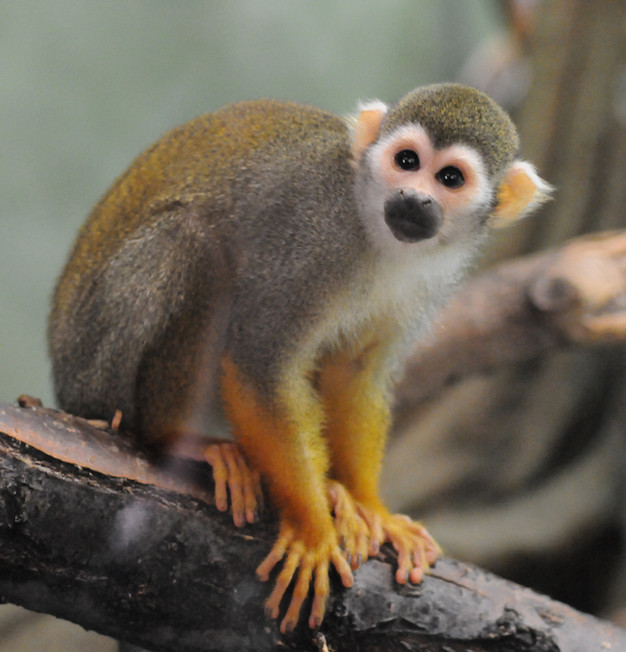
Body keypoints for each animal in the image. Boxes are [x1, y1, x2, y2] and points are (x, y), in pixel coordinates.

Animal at [48, 83, 552, 633]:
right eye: (407, 161)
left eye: (450, 178)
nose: (413, 198)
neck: (372, 230)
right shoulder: (307, 241)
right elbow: (259, 363)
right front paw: (312, 531)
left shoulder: (429, 279)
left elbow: (355, 374)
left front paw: (372, 507)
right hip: (102, 357)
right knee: (193, 243)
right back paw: (175, 439)